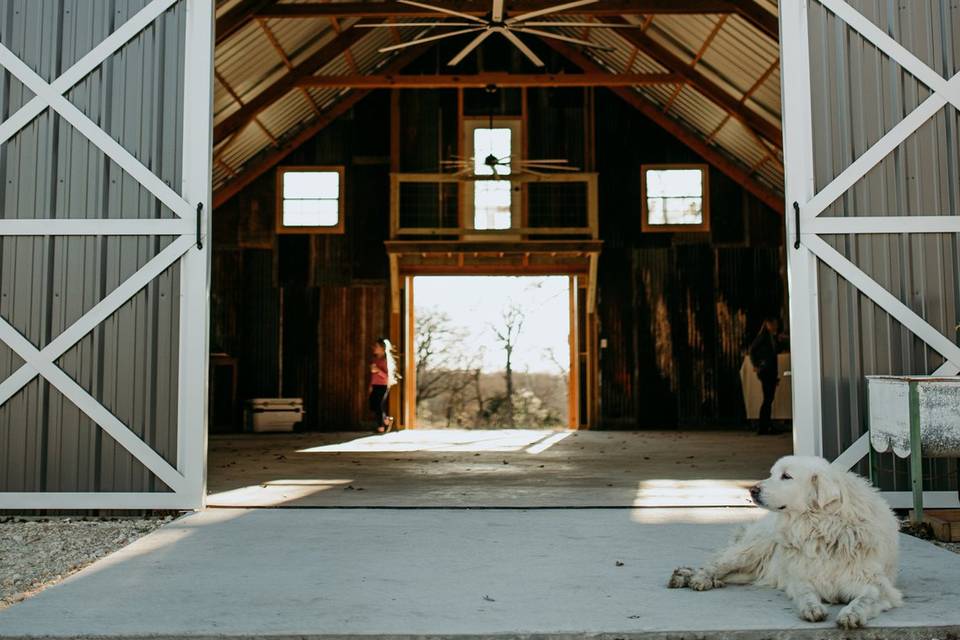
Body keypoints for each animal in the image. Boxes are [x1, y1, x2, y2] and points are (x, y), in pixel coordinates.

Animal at [668, 456, 900, 632]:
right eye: (772, 474)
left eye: (786, 476)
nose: (752, 490)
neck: (820, 528)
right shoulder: (802, 577)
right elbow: (805, 593)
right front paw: (811, 608)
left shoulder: (873, 583)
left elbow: (865, 598)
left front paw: (851, 614)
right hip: (750, 550)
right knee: (714, 564)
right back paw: (695, 578)